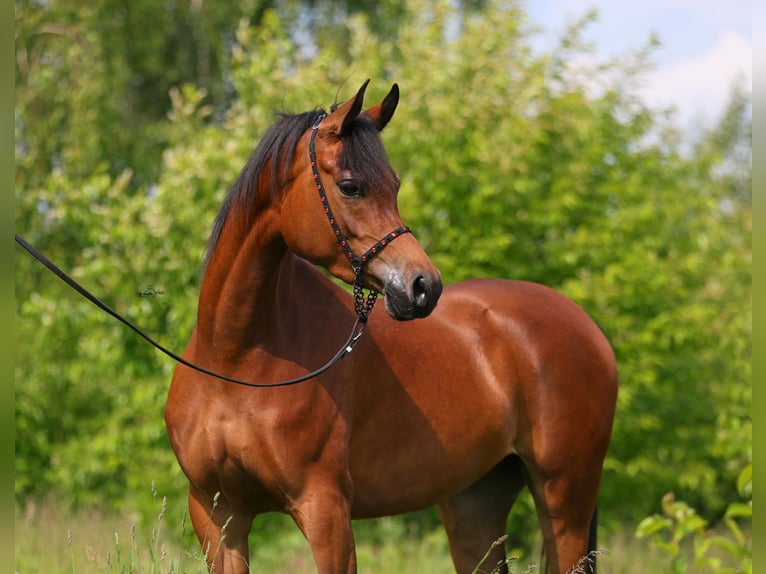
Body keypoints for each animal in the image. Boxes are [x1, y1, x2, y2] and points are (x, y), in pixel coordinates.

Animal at [164, 80, 618, 574]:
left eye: (395, 185)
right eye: (350, 186)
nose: (424, 287)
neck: (237, 360)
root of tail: (586, 326)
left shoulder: (325, 510)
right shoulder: (217, 515)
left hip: (565, 499)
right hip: (474, 504)